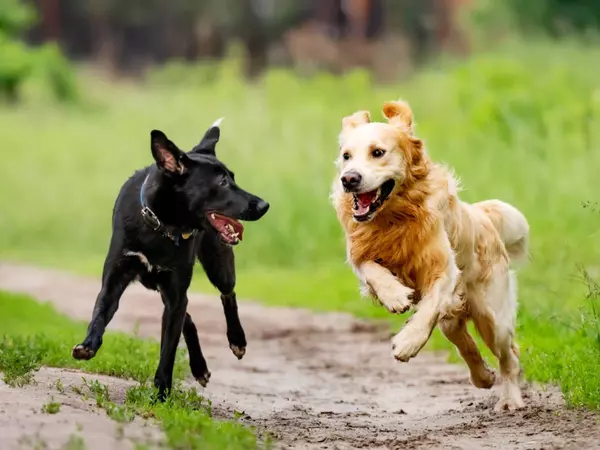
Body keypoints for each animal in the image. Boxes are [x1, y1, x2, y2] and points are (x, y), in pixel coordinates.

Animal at [71, 118, 268, 398]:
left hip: (217, 265)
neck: (161, 226)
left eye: (232, 178)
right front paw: (88, 345)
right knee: (189, 316)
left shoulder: (175, 293)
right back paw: (199, 367)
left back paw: (236, 340)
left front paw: (162, 394)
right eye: (222, 182)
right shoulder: (116, 279)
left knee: (227, 294)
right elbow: (100, 313)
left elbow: (168, 351)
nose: (264, 205)